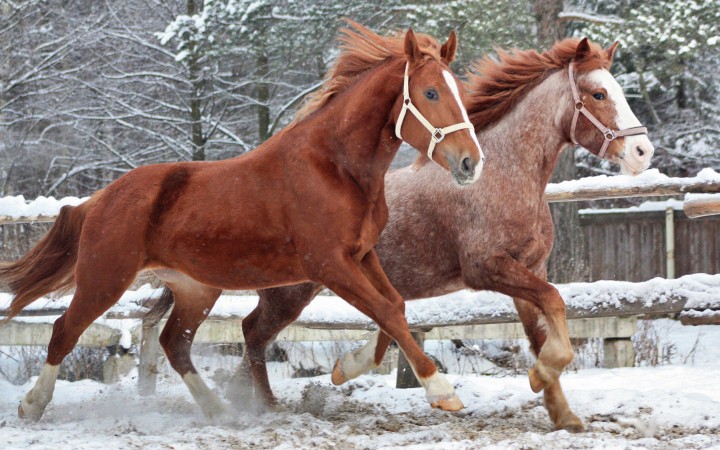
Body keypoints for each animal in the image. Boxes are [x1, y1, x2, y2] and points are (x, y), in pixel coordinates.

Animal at [1, 22, 484, 422]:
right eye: (431, 94)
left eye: (458, 91)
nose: (470, 162)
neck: (333, 168)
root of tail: (98, 199)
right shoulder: (329, 264)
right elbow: (385, 311)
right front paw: (441, 391)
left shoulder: (362, 255)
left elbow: (395, 308)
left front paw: (345, 369)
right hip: (105, 278)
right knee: (65, 331)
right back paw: (32, 405)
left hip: (196, 288)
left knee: (175, 343)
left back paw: (222, 410)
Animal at [224, 37, 652, 430]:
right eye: (598, 94)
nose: (643, 151)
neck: (506, 176)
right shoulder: (486, 268)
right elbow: (555, 305)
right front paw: (539, 377)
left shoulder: (532, 269)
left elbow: (540, 334)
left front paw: (563, 414)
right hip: (291, 293)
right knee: (254, 334)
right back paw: (263, 406)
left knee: (253, 335)